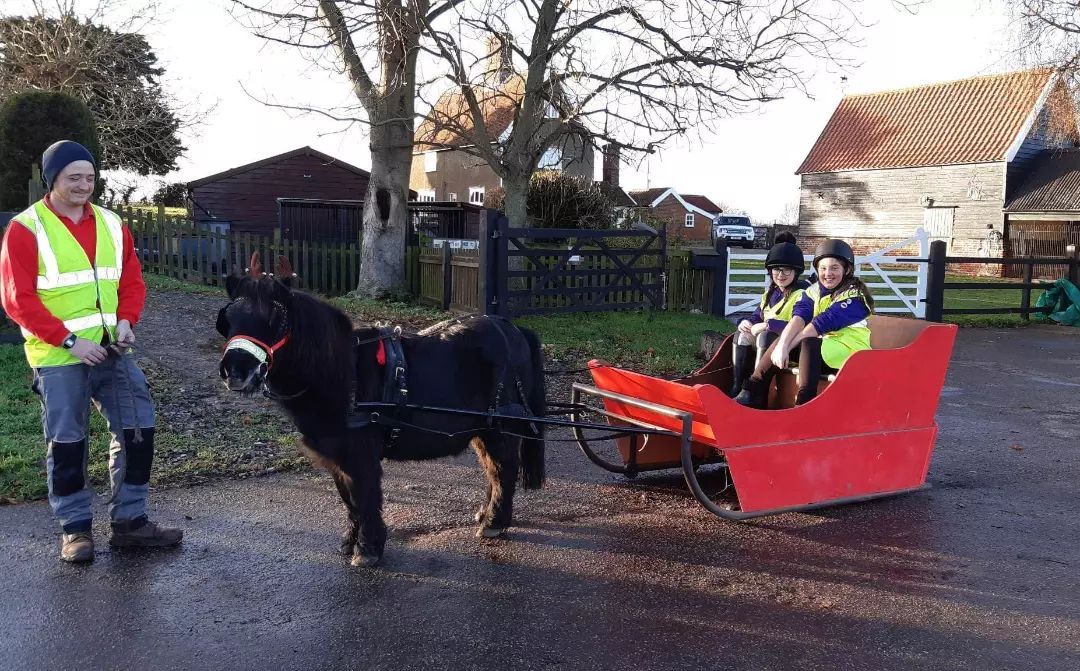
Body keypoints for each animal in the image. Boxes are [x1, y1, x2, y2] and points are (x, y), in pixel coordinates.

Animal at [213, 255, 544, 566]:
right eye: (228, 318)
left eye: (276, 317)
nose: (235, 370)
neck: (343, 373)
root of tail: (512, 328)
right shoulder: (337, 458)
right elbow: (349, 501)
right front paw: (350, 541)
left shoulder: (359, 453)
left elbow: (365, 496)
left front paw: (368, 548)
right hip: (481, 430)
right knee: (492, 471)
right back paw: (484, 513)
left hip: (501, 428)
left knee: (503, 470)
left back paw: (494, 522)